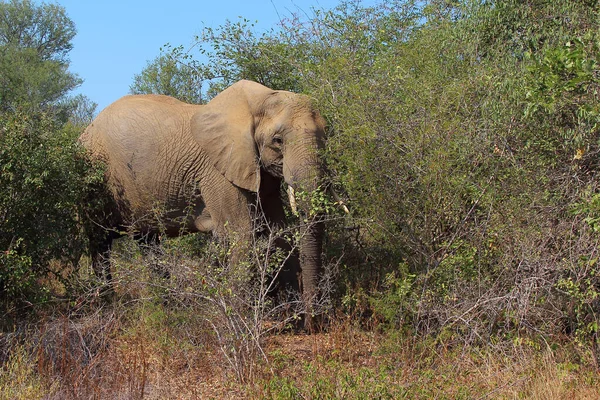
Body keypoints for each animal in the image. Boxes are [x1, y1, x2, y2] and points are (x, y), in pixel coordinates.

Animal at [81, 79, 328, 328]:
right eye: (278, 141)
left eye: (326, 136)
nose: (313, 325)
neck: (258, 100)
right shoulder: (216, 172)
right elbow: (241, 234)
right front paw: (242, 323)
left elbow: (278, 232)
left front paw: (291, 320)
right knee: (100, 243)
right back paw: (108, 305)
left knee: (147, 241)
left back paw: (168, 308)